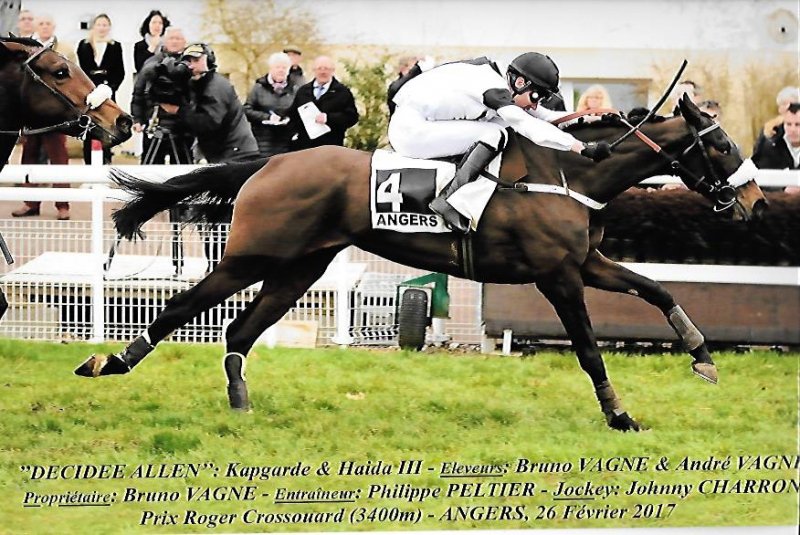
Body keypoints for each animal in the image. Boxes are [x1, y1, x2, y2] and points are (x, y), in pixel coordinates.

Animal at [75, 95, 767, 432]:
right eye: (723, 146)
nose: (756, 203)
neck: (568, 175)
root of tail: (271, 161)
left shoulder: (587, 263)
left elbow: (657, 290)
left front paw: (702, 357)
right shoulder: (558, 277)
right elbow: (591, 350)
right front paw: (620, 416)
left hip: (299, 268)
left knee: (238, 330)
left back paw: (240, 405)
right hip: (253, 254)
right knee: (183, 307)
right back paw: (110, 361)